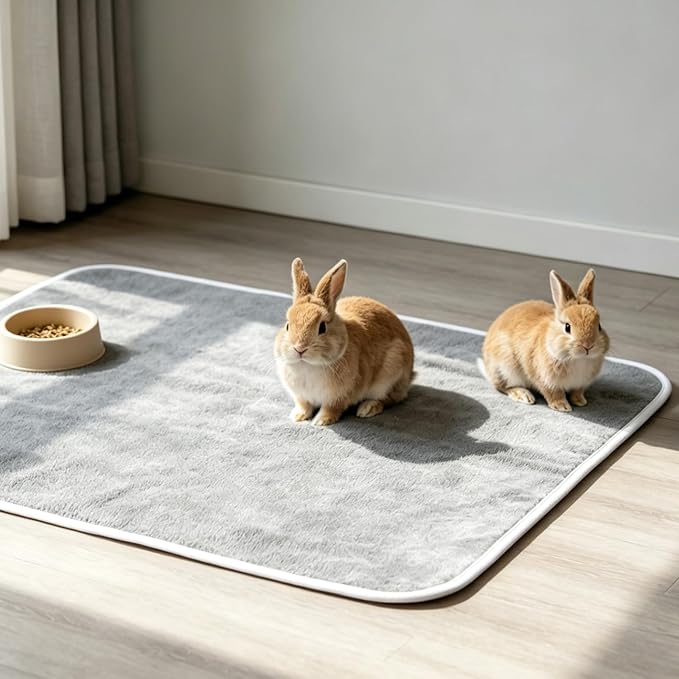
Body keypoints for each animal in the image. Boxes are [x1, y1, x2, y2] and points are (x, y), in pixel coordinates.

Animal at [274, 257, 415, 426]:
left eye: (322, 327)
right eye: (287, 325)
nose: (300, 348)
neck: (308, 365)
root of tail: (410, 375)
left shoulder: (338, 397)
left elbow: (331, 408)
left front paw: (321, 421)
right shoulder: (301, 396)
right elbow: (304, 405)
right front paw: (298, 416)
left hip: (391, 373)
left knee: (391, 398)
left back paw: (367, 408)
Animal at [481, 268, 610, 412]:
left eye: (599, 326)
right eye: (567, 327)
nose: (588, 346)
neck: (577, 359)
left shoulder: (579, 384)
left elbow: (576, 392)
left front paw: (580, 401)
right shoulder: (544, 379)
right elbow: (553, 393)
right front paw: (562, 406)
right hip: (505, 368)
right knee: (502, 386)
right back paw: (523, 395)